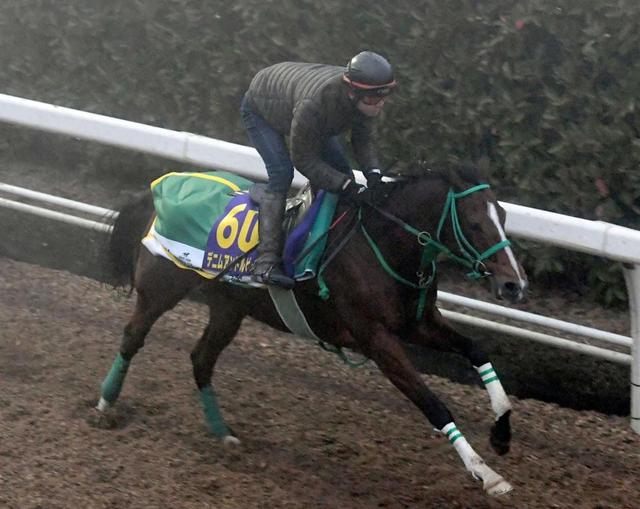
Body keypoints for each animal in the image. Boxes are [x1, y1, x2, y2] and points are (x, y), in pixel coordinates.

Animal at [95, 163, 528, 497]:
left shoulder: (418, 324)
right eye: (475, 223)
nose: (514, 284)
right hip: (162, 289)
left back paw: (223, 434)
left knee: (201, 359)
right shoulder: (376, 340)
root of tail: (158, 188)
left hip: (229, 309)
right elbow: (432, 404)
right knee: (132, 337)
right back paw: (105, 405)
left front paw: (502, 434)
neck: (383, 246)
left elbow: (477, 350)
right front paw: (486, 474)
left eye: (504, 218)